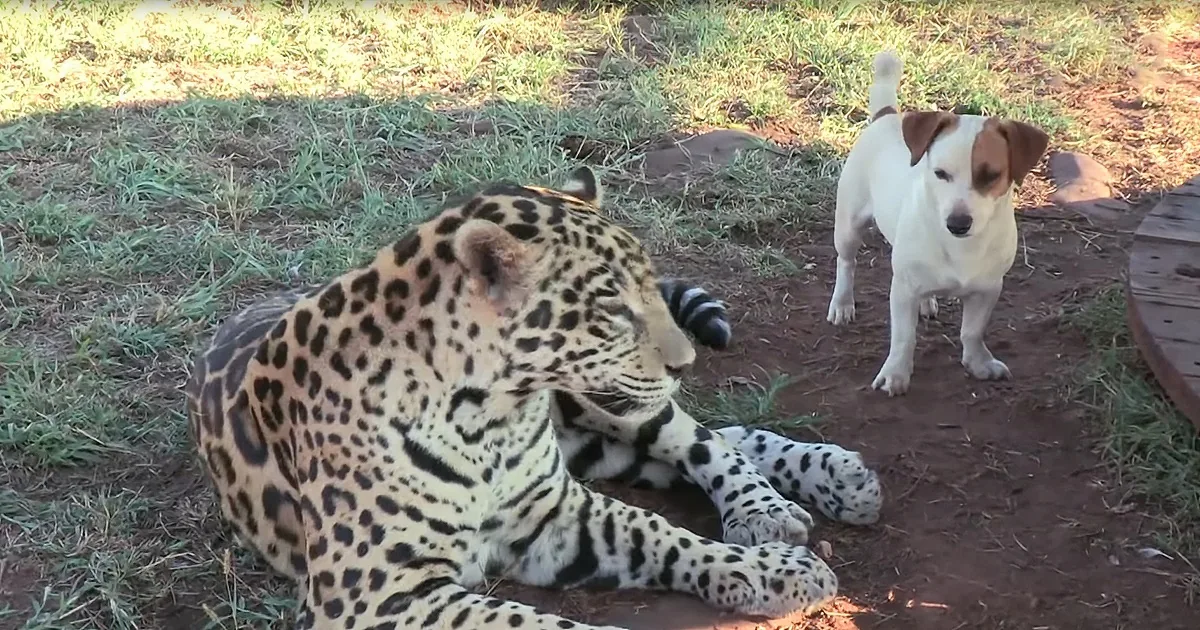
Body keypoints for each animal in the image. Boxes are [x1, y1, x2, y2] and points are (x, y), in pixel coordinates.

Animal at [186, 166, 883, 630]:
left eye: (649, 291)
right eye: (612, 310)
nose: (682, 363)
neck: (487, 418)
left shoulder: (554, 514)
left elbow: (662, 534)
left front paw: (779, 571)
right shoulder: (377, 596)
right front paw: (772, 569)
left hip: (604, 412)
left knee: (708, 441)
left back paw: (801, 494)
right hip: (595, 439)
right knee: (690, 449)